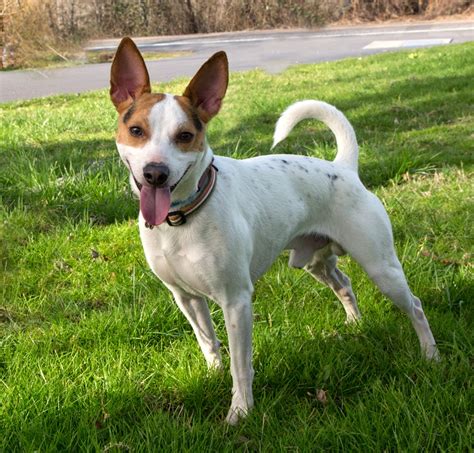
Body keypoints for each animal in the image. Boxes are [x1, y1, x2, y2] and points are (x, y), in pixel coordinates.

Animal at [109, 37, 438, 422]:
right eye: (136, 131)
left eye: (185, 136)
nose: (155, 173)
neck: (183, 216)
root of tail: (344, 168)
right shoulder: (186, 298)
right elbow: (208, 342)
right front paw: (212, 375)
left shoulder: (236, 301)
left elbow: (241, 365)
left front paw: (240, 411)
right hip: (316, 263)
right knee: (344, 284)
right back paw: (356, 324)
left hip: (381, 267)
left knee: (415, 306)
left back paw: (430, 354)